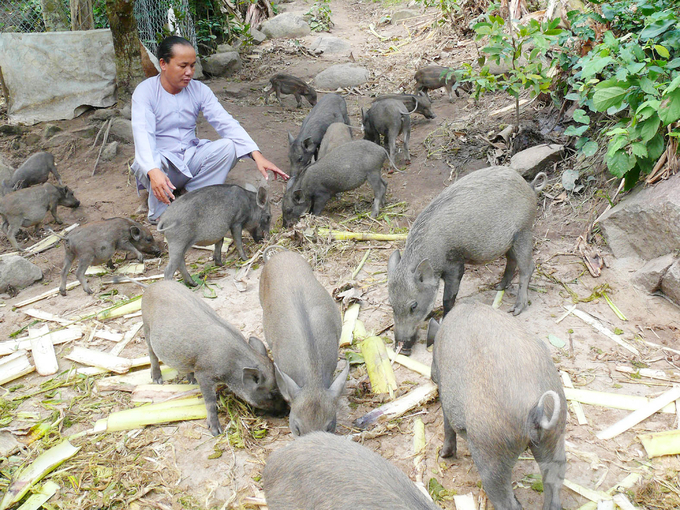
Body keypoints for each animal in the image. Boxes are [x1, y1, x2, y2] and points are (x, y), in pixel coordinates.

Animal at [388, 167, 548, 354]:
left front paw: (444, 317)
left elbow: (448, 298)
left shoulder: (455, 265)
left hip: (524, 232)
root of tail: (530, 186)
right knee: (512, 261)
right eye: (391, 304)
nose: (400, 347)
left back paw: (516, 309)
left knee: (528, 267)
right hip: (508, 243)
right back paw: (499, 287)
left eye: (413, 306)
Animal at [430, 302, 568, 510]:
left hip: (491, 453)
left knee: (506, 501)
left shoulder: (445, 396)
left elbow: (447, 427)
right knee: (553, 487)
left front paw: (442, 454)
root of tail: (536, 406)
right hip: (555, 437)